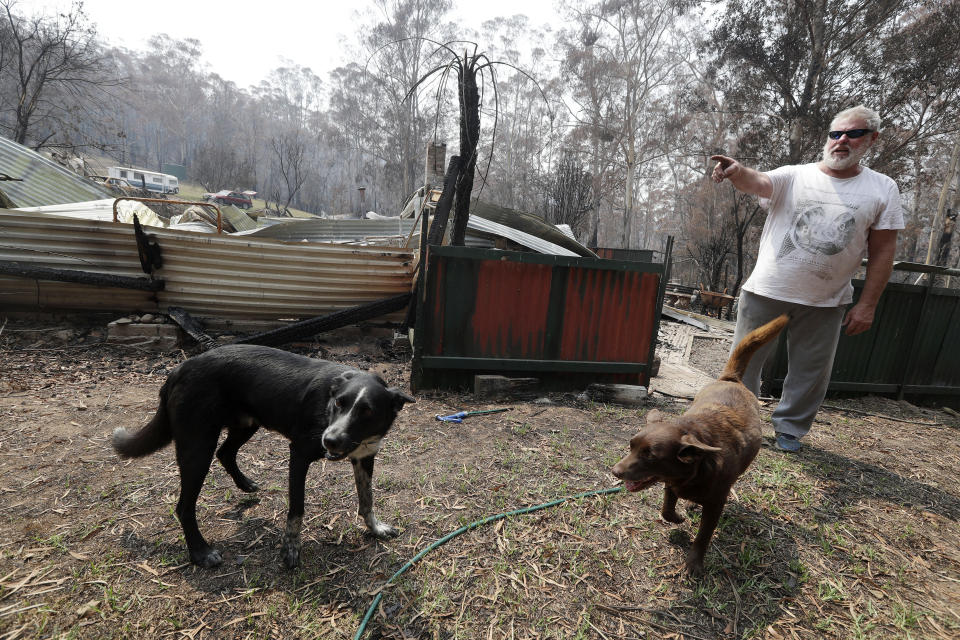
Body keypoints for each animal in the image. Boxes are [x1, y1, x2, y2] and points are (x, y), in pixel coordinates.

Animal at [110, 342, 414, 568]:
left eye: (368, 411)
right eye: (339, 403)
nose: (329, 439)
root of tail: (177, 370)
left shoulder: (365, 457)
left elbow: (367, 499)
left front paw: (376, 529)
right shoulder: (299, 455)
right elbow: (297, 508)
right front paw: (290, 550)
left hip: (246, 425)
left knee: (225, 452)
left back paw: (245, 484)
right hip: (197, 447)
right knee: (184, 506)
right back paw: (201, 553)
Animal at [616, 316, 788, 576]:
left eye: (650, 456)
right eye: (631, 446)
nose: (615, 471)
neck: (699, 464)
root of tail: (731, 380)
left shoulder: (715, 504)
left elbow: (703, 536)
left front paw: (694, 564)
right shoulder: (671, 485)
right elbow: (666, 509)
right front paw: (677, 518)